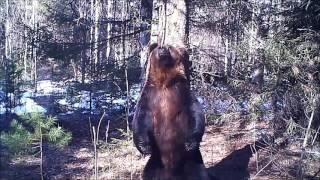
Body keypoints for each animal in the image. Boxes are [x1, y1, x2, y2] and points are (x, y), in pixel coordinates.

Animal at [132, 43, 208, 179]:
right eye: (158, 47)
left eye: (170, 47)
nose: (162, 47)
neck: (165, 83)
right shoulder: (149, 97)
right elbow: (140, 119)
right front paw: (144, 147)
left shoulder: (182, 93)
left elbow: (196, 113)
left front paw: (190, 143)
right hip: (157, 162)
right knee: (148, 172)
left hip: (191, 160)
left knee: (199, 172)